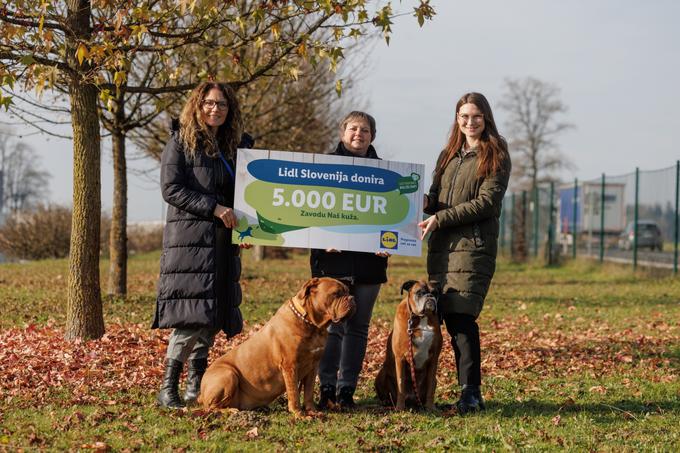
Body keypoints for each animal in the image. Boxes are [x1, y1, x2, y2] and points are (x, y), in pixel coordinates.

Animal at [199, 276, 354, 416]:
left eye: (347, 291)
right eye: (336, 293)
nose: (352, 298)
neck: (312, 325)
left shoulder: (313, 367)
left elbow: (308, 392)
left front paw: (312, 411)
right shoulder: (290, 366)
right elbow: (294, 393)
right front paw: (299, 414)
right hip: (228, 374)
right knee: (211, 407)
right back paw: (231, 411)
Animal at [374, 278, 444, 410]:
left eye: (435, 292)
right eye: (420, 292)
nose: (430, 296)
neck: (421, 318)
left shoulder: (434, 360)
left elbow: (430, 386)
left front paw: (430, 407)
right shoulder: (400, 358)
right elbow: (401, 384)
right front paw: (400, 408)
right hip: (380, 375)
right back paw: (387, 402)